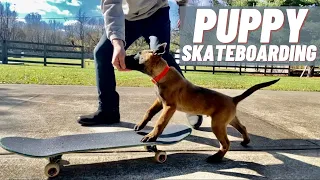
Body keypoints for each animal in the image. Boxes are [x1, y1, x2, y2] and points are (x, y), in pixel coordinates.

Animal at [125, 43, 280, 163]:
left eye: (138, 54)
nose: (124, 55)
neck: (162, 74)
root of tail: (232, 99)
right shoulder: (159, 101)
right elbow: (149, 112)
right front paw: (140, 125)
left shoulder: (169, 107)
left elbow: (160, 122)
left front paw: (151, 136)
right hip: (228, 120)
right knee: (243, 127)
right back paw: (245, 141)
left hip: (217, 125)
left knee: (226, 143)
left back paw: (216, 158)